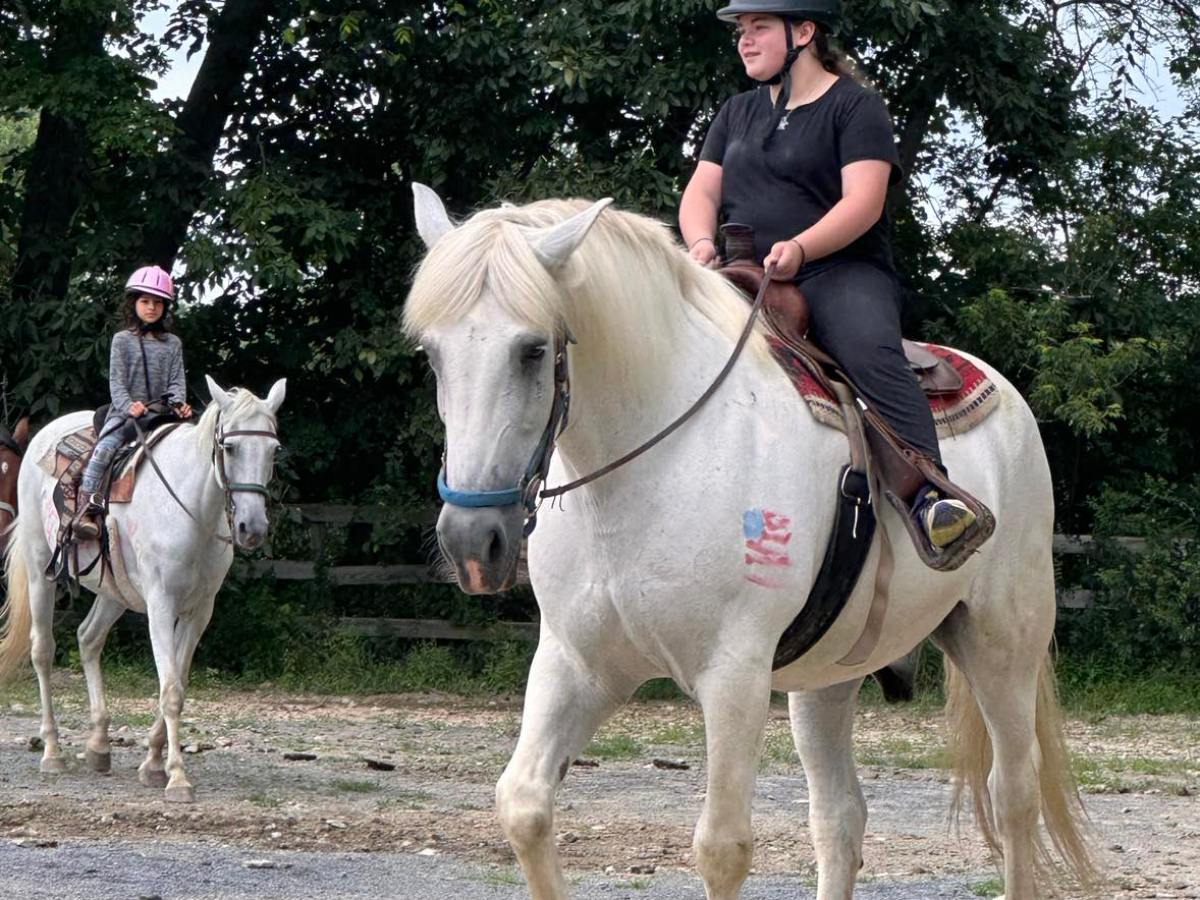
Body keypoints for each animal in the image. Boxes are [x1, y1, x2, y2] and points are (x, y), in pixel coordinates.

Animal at [0, 377, 285, 802]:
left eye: (273, 449)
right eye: (229, 447)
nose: (252, 528)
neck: (193, 512)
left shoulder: (200, 612)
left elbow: (177, 681)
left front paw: (152, 762)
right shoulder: (161, 606)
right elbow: (171, 690)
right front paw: (177, 777)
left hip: (112, 590)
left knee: (88, 638)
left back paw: (98, 745)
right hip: (39, 569)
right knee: (43, 651)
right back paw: (52, 752)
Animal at [403, 185, 1096, 900]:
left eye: (533, 350)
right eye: (432, 353)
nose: (471, 542)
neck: (648, 464)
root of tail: (1010, 400)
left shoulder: (733, 672)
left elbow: (722, 848)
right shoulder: (576, 662)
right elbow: (524, 806)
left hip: (1000, 643)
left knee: (1013, 794)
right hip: (830, 677)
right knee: (840, 817)